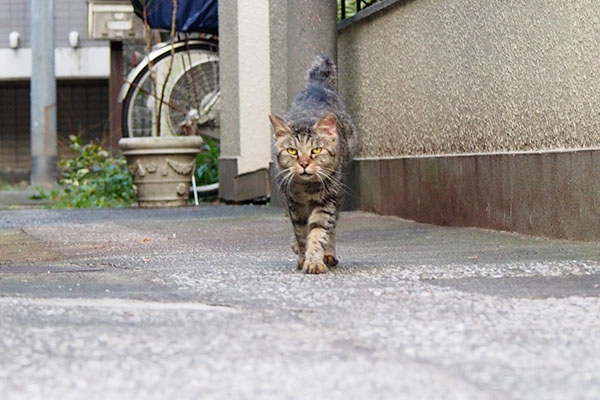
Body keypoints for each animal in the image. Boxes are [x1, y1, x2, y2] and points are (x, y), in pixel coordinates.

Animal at [270, 55, 356, 276]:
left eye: (316, 150)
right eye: (292, 151)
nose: (304, 164)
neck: (306, 189)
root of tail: (317, 86)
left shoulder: (328, 201)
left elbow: (319, 232)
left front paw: (315, 260)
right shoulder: (294, 204)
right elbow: (301, 233)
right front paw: (303, 257)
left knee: (333, 225)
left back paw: (329, 254)